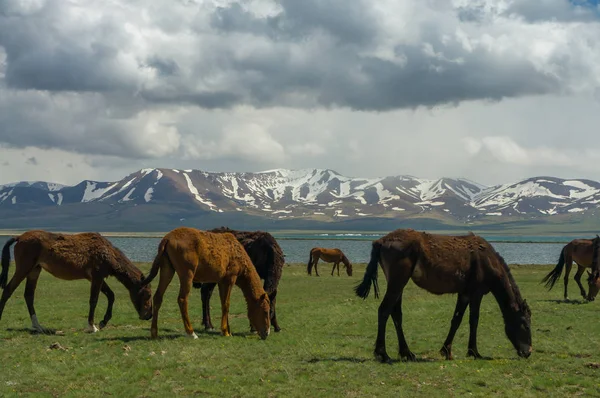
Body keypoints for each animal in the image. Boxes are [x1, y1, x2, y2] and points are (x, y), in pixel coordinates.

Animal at [0, 230, 152, 332]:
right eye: (147, 294)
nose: (149, 315)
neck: (108, 254)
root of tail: (19, 237)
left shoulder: (96, 278)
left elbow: (111, 295)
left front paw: (103, 322)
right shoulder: (97, 277)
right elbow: (94, 300)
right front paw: (92, 326)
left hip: (34, 270)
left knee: (28, 295)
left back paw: (38, 326)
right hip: (24, 268)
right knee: (8, 290)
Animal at [139, 227, 270, 338]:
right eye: (265, 311)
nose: (267, 332)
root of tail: (166, 239)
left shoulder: (221, 281)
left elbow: (223, 304)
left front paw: (226, 329)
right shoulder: (230, 278)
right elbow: (226, 304)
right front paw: (226, 331)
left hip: (167, 269)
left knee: (158, 297)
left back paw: (154, 332)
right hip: (187, 274)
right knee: (182, 299)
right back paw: (191, 333)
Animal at [354, 229, 532, 362]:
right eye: (525, 324)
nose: (528, 352)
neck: (487, 260)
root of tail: (381, 241)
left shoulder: (464, 294)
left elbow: (456, 320)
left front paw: (447, 350)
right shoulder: (476, 293)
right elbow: (474, 320)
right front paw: (474, 352)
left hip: (398, 284)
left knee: (396, 313)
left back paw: (407, 353)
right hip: (397, 282)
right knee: (384, 310)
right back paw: (383, 354)